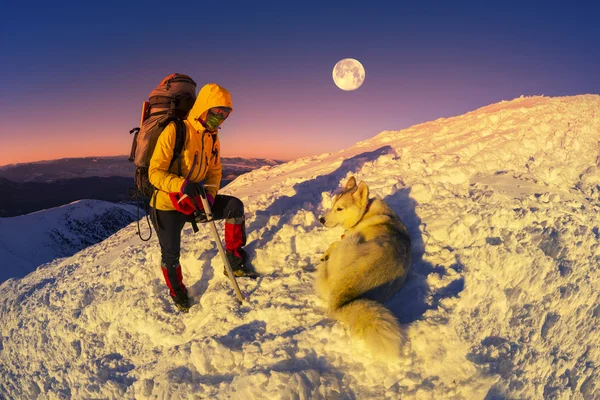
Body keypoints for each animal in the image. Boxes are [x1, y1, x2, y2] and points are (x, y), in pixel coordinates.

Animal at [316, 177, 410, 358]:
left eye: (339, 208)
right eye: (332, 205)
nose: (321, 220)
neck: (364, 214)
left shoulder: (346, 237)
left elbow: (334, 242)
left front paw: (325, 253)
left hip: (352, 242)